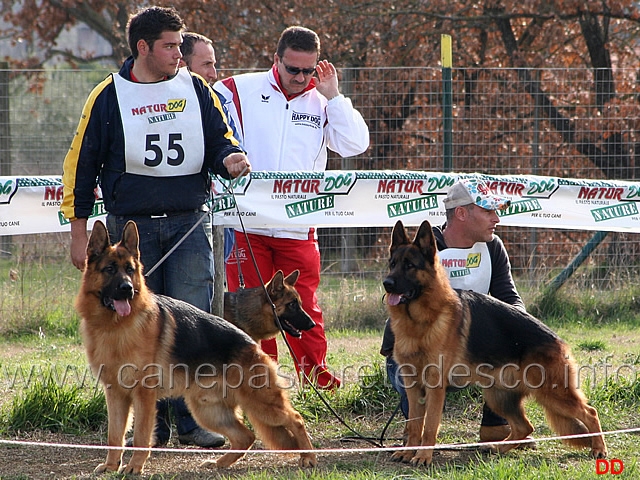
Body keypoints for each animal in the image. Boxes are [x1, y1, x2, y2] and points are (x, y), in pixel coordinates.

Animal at [77, 220, 318, 472]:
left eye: (130, 270)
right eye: (110, 269)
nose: (127, 289)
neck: (116, 326)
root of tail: (252, 344)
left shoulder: (143, 395)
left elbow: (142, 435)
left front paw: (134, 467)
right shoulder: (115, 394)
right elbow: (115, 435)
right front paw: (111, 466)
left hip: (261, 404)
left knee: (296, 419)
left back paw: (309, 457)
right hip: (207, 409)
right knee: (246, 436)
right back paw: (220, 462)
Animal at [382, 220, 608, 464]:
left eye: (410, 266)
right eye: (392, 264)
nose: (386, 283)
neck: (420, 320)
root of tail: (559, 342)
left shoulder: (434, 387)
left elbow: (430, 425)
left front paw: (423, 456)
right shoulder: (413, 386)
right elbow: (414, 424)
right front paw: (408, 452)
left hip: (552, 393)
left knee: (590, 412)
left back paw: (599, 448)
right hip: (498, 396)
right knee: (524, 427)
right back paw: (498, 447)